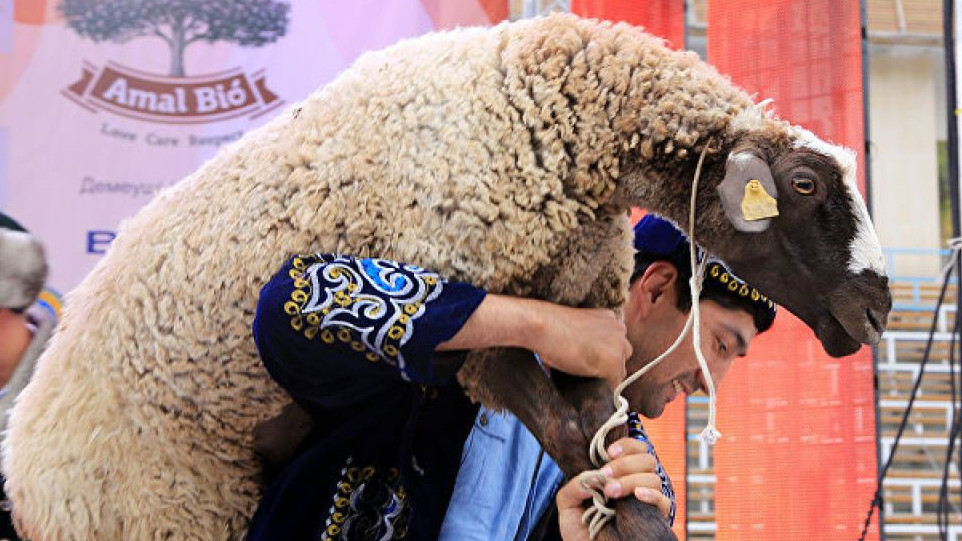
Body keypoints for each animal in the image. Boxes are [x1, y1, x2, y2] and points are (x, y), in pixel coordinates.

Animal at [1, 12, 884, 540]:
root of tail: (21, 448)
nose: (875, 312)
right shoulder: (472, 327)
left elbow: (603, 447)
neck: (550, 107)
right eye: (804, 185)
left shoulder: (579, 323)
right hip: (158, 502)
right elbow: (565, 434)